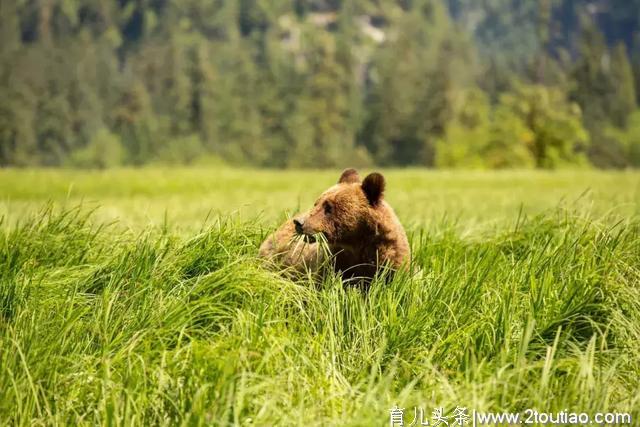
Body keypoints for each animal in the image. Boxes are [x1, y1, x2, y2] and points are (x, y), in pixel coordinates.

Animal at [258, 169, 410, 282]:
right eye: (317, 203)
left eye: (329, 207)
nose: (299, 222)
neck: (357, 243)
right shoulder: (333, 262)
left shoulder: (392, 261)